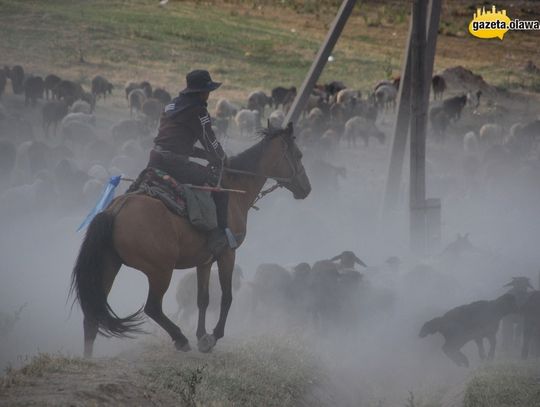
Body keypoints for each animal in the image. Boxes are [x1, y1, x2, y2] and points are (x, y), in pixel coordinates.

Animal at [70, 122, 312, 358]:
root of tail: (116, 210)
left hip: (109, 265)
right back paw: (180, 338)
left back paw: (88, 357)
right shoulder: (227, 254)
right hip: (160, 271)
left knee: (93, 314)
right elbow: (226, 297)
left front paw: (201, 335)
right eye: (298, 155)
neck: (235, 190)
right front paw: (213, 337)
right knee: (152, 308)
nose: (307, 188)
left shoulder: (204, 261)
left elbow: (202, 299)